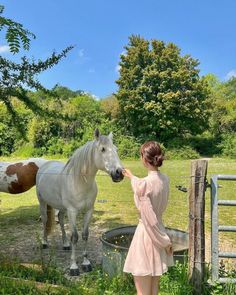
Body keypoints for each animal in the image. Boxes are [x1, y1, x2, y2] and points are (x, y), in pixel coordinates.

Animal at [36, 131, 124, 276]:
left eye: (116, 149)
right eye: (103, 149)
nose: (119, 173)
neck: (79, 182)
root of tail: (45, 165)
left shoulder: (88, 211)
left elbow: (85, 235)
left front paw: (86, 263)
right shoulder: (72, 212)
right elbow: (75, 237)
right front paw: (73, 267)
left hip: (61, 207)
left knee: (60, 219)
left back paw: (65, 244)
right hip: (42, 202)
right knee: (44, 220)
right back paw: (44, 243)